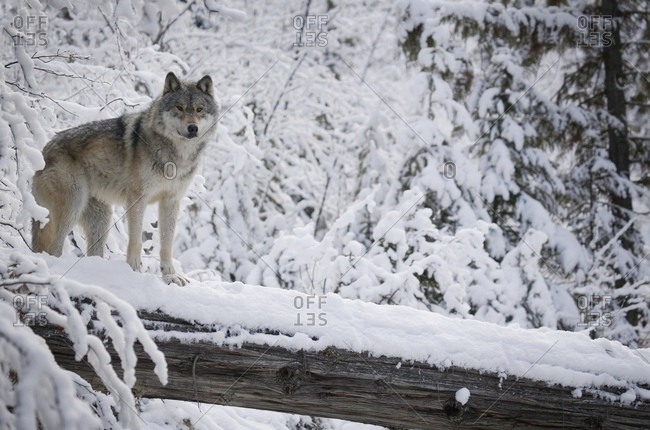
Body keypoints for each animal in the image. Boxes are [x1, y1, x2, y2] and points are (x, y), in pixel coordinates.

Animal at [32, 72, 218, 285]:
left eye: (199, 109)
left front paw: (170, 275)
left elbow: (166, 244)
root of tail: (42, 152)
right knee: (54, 248)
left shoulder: (171, 201)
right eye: (179, 107)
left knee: (92, 252)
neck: (176, 156)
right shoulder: (137, 199)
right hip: (73, 204)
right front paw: (135, 270)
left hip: (101, 218)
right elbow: (136, 240)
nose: (192, 128)